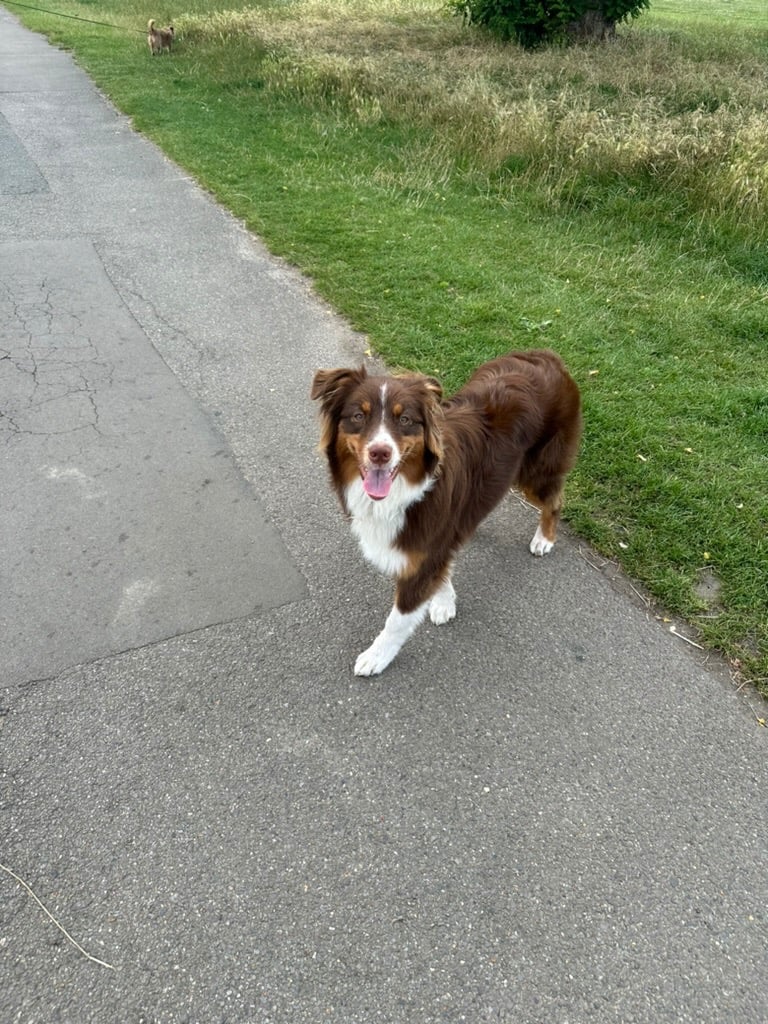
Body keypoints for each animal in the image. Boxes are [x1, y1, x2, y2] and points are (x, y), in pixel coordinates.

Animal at [311, 348, 582, 676]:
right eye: (358, 416)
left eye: (405, 419)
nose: (380, 453)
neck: (408, 491)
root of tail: (548, 355)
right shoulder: (434, 543)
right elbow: (444, 564)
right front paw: (445, 599)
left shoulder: (420, 560)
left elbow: (397, 620)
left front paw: (377, 656)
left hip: (539, 469)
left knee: (554, 500)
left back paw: (545, 538)